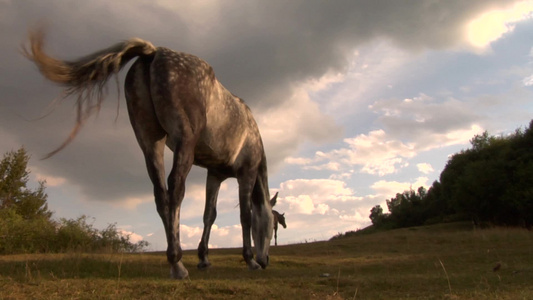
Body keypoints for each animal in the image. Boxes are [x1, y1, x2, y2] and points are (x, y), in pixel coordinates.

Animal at [23, 29, 276, 278]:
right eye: (273, 224)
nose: (265, 261)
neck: (252, 132)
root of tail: (154, 52)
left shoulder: (214, 174)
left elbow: (209, 215)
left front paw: (204, 259)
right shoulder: (246, 172)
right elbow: (245, 216)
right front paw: (249, 260)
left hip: (149, 141)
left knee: (160, 193)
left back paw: (176, 262)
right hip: (184, 143)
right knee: (175, 190)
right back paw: (177, 263)